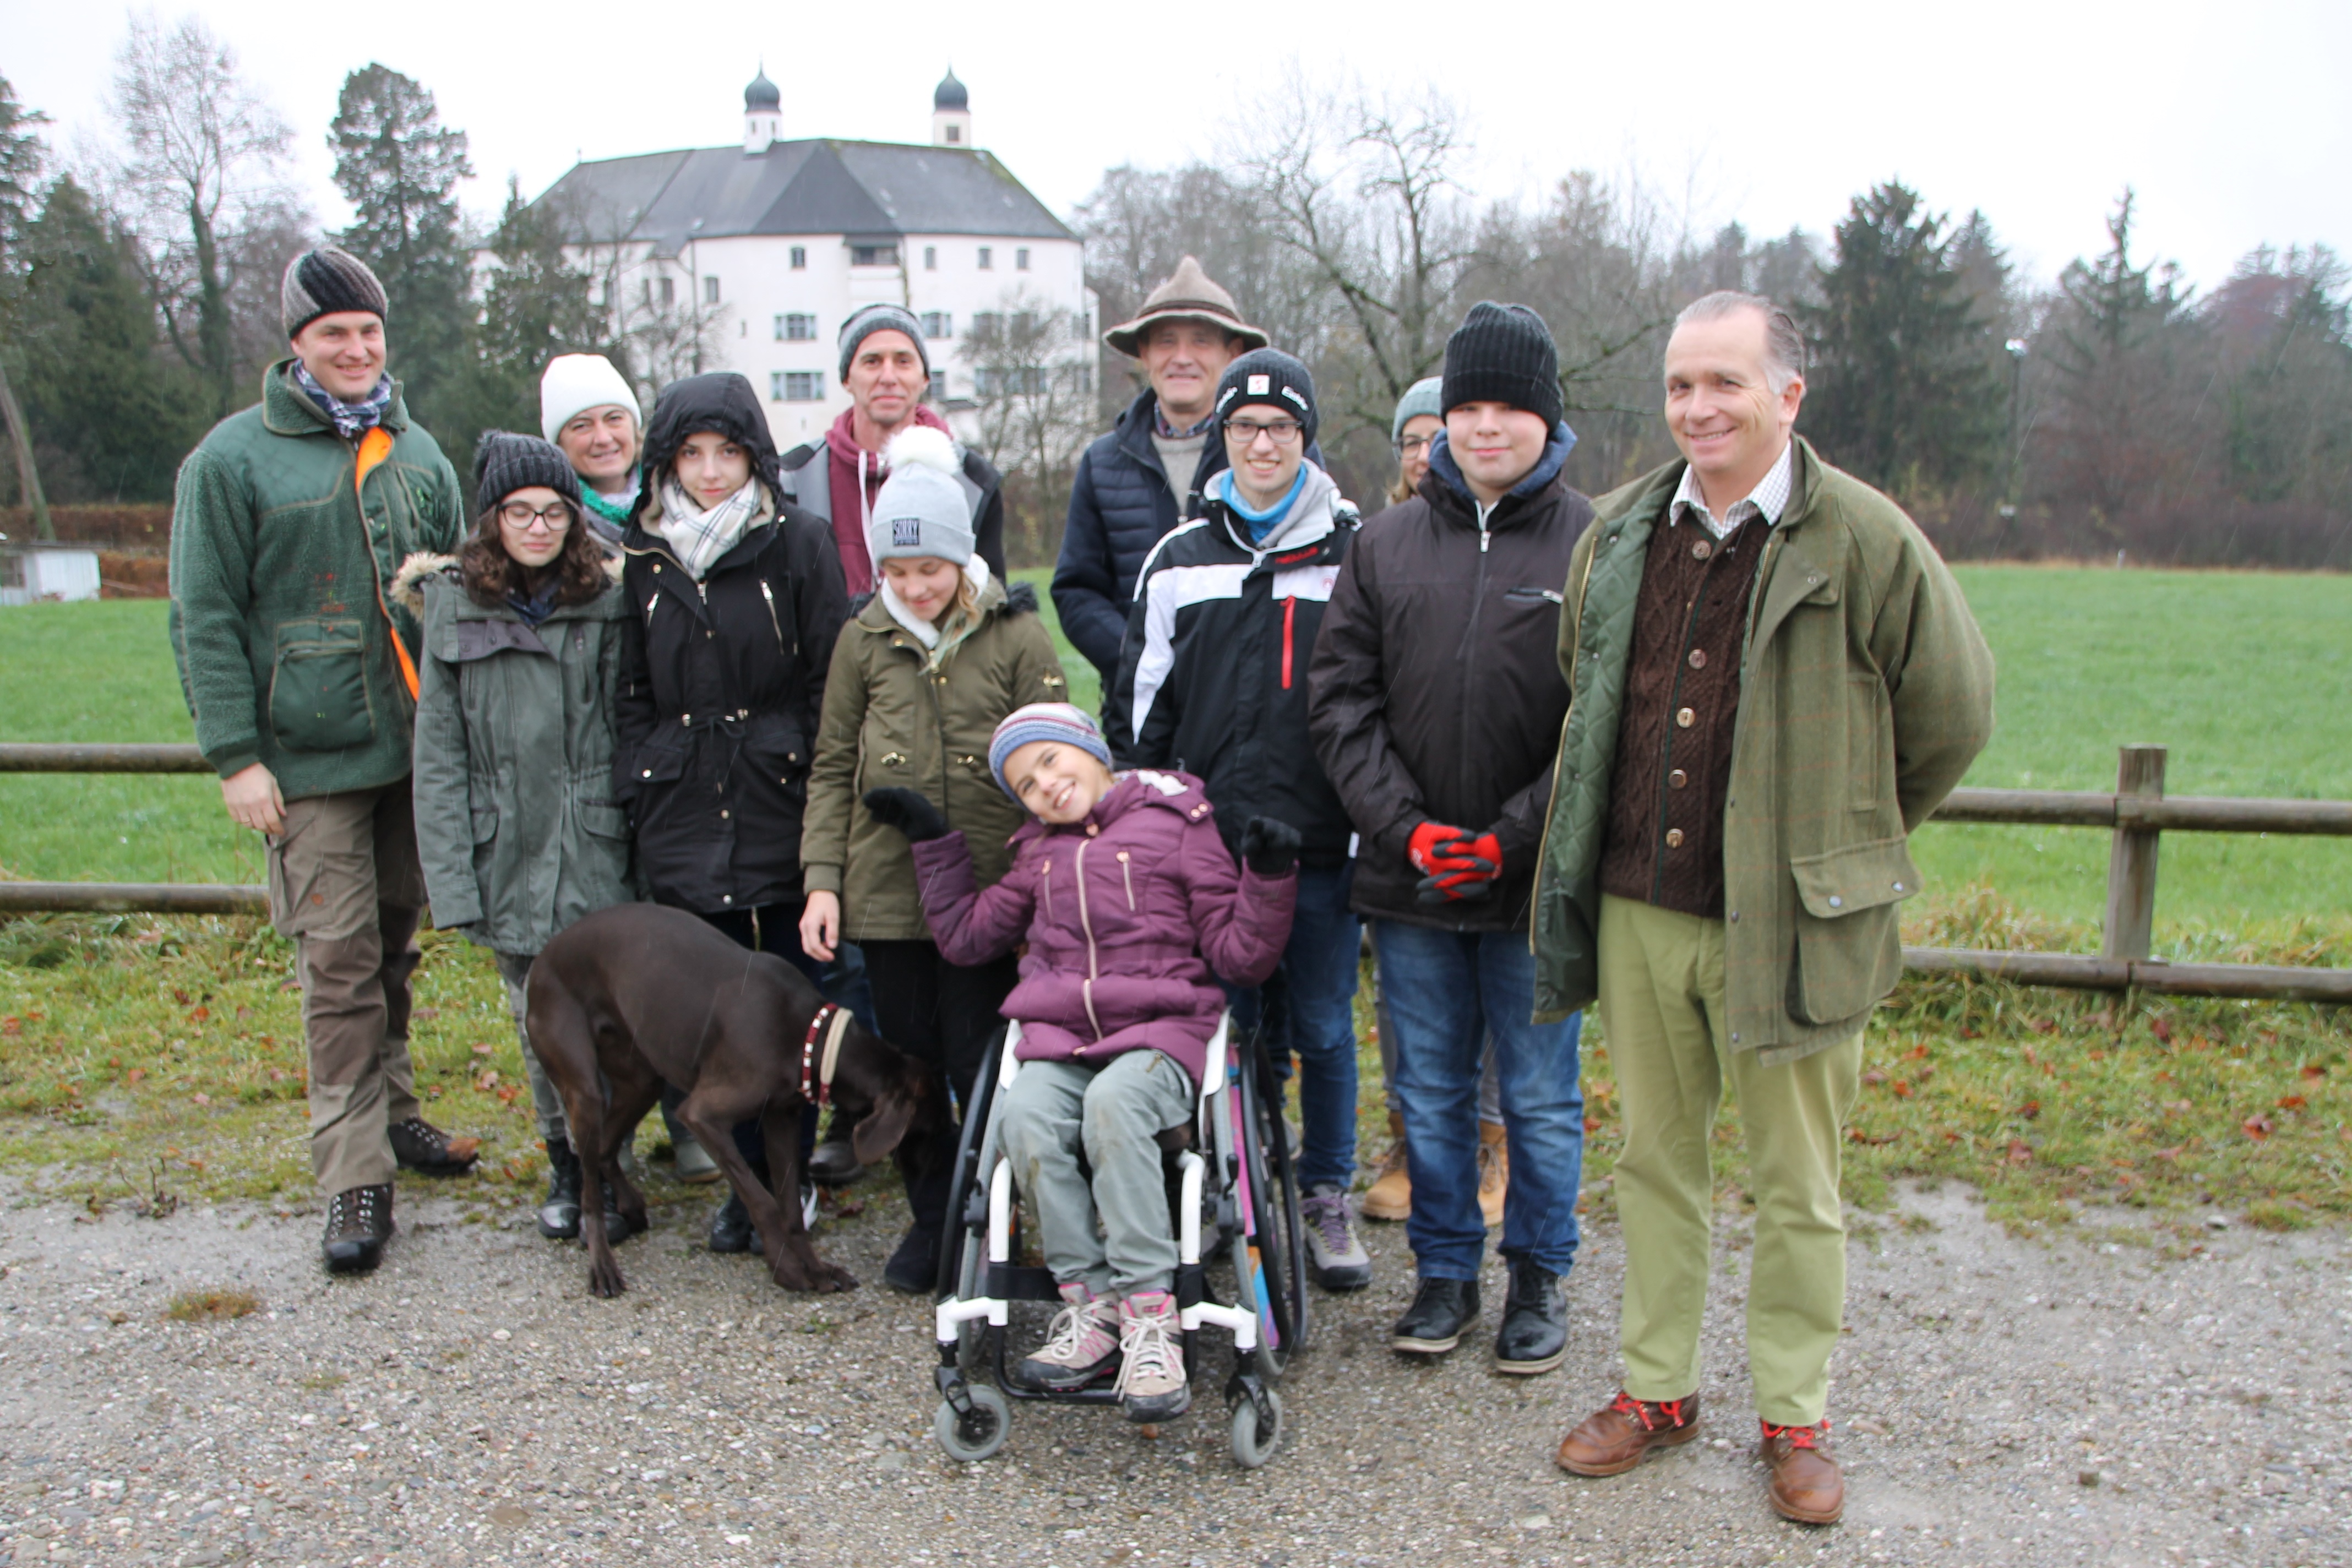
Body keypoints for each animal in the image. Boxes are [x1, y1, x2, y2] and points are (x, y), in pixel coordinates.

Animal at [526, 907, 945, 1297]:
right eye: (925, 1126)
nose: (944, 1162)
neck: (814, 1039)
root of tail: (542, 957)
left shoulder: (781, 1118)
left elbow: (791, 1208)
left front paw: (817, 1269)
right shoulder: (701, 1116)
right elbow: (763, 1200)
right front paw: (787, 1270)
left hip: (641, 1082)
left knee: (603, 1151)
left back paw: (630, 1205)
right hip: (585, 1090)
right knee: (590, 1188)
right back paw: (602, 1266)